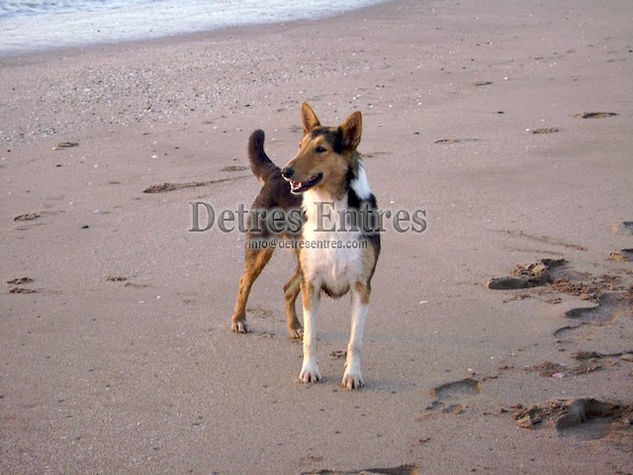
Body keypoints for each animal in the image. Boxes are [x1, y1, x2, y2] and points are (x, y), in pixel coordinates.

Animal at [232, 104, 380, 390]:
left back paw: (294, 327)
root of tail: (272, 174)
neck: (330, 207)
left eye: (321, 149)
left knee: (287, 288)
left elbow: (355, 341)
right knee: (245, 282)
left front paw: (352, 375)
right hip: (262, 248)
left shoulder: (361, 286)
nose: (287, 171)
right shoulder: (311, 283)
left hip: (301, 262)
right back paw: (239, 321)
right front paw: (310, 371)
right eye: (300, 146)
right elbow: (311, 339)